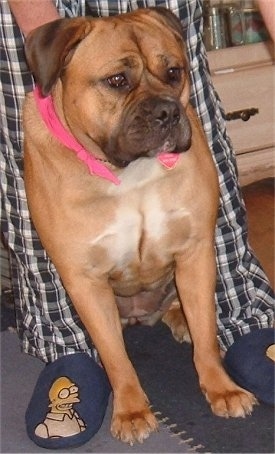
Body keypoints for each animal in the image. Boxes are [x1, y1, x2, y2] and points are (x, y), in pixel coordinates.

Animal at [23, 7, 256, 446]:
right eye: (117, 80)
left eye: (174, 72)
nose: (166, 111)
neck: (129, 172)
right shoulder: (84, 280)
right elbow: (116, 357)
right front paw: (131, 410)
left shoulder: (196, 251)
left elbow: (206, 335)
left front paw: (221, 389)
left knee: (185, 312)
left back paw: (180, 320)